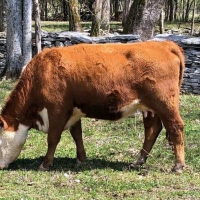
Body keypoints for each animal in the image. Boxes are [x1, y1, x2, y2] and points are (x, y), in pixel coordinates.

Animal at [0, 40, 186, 172]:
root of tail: (165, 44)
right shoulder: (74, 111)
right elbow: (77, 135)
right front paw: (81, 159)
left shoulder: (57, 109)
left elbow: (53, 138)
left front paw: (45, 164)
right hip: (150, 108)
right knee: (152, 130)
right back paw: (138, 161)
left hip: (165, 103)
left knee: (175, 127)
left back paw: (178, 166)